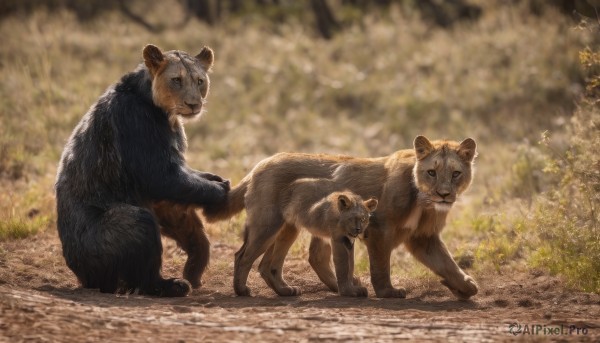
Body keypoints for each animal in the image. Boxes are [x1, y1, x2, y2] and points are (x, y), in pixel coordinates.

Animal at [56, 43, 230, 298]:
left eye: (199, 81)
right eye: (176, 80)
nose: (193, 104)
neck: (166, 114)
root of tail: (82, 275)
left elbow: (183, 204)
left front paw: (196, 264)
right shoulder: (140, 137)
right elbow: (166, 179)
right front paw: (221, 189)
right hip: (118, 230)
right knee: (142, 262)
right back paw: (171, 285)